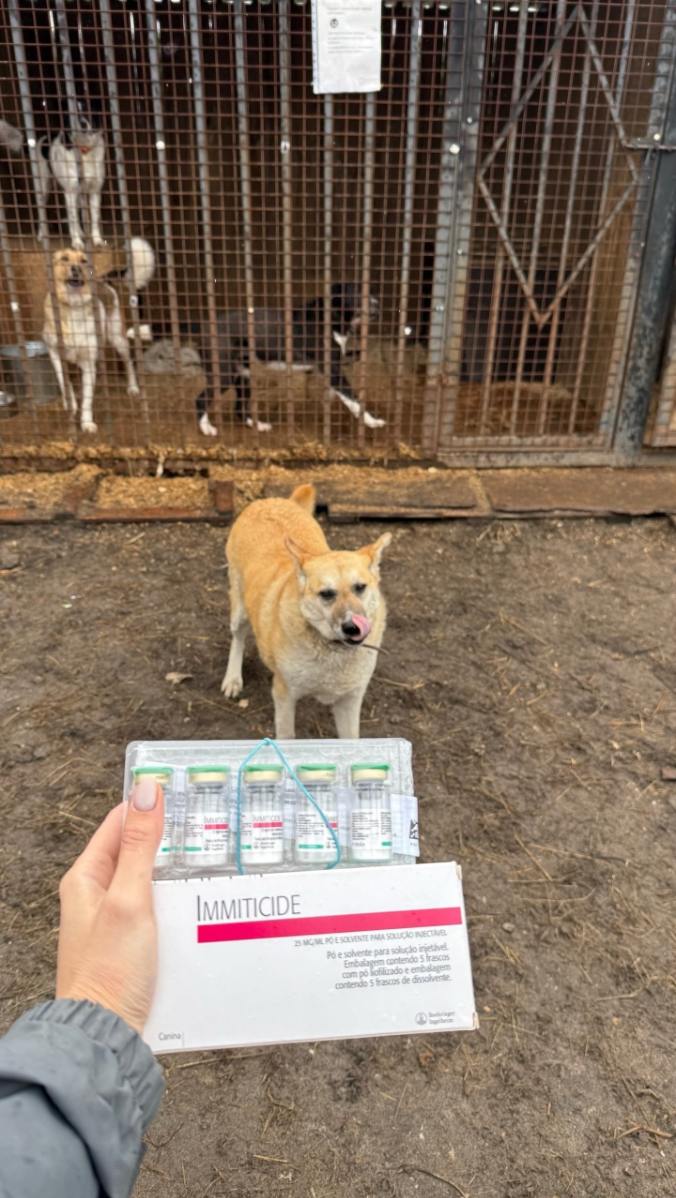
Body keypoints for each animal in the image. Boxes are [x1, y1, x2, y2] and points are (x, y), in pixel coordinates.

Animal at [43, 238, 155, 433]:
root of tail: (104, 280)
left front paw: (86, 423)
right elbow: (65, 383)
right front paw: (70, 404)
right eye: (64, 258)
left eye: (83, 261)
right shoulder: (55, 354)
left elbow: (87, 399)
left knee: (128, 362)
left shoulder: (88, 363)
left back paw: (133, 387)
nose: (76, 269)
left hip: (118, 339)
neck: (73, 306)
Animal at [195, 283, 385, 436]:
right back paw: (206, 429)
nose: (377, 303)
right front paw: (372, 421)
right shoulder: (333, 370)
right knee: (200, 400)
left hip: (244, 375)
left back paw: (258, 425)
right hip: (224, 375)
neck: (333, 317)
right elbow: (353, 399)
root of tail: (202, 327)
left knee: (239, 407)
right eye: (357, 293)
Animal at [222, 483, 391, 739]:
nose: (352, 627)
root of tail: (271, 501)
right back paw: (232, 678)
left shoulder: (350, 700)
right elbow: (287, 738)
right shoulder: (283, 695)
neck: (332, 651)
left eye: (360, 587)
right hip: (239, 610)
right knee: (238, 638)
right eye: (326, 594)